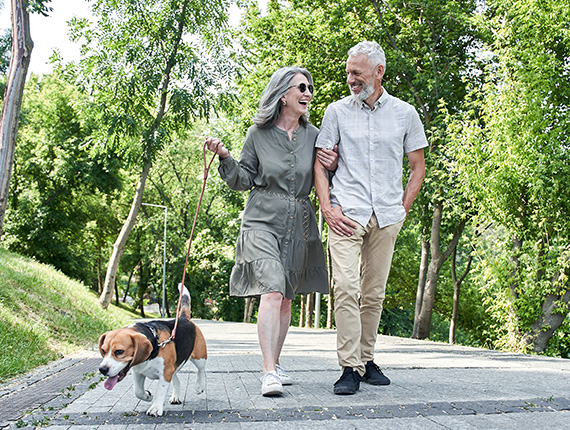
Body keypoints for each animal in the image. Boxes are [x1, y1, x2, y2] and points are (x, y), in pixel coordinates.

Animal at [98, 286, 206, 416]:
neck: (155, 345)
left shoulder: (165, 373)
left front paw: (155, 408)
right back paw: (175, 397)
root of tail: (183, 318)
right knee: (177, 380)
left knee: (201, 370)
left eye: (119, 351)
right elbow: (138, 391)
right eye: (103, 351)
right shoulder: (138, 372)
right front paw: (148, 396)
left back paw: (199, 386)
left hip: (199, 357)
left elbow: (160, 390)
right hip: (173, 367)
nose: (102, 369)